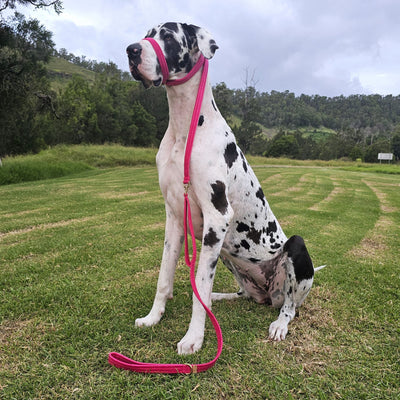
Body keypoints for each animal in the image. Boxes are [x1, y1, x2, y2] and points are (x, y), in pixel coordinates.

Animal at [126, 22, 318, 354]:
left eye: (168, 36)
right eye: (148, 33)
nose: (131, 50)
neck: (184, 130)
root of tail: (269, 293)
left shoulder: (217, 218)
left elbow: (200, 285)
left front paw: (193, 338)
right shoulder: (174, 217)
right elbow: (164, 276)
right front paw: (153, 317)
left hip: (292, 249)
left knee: (290, 306)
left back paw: (279, 323)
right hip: (228, 253)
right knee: (243, 295)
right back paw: (220, 298)